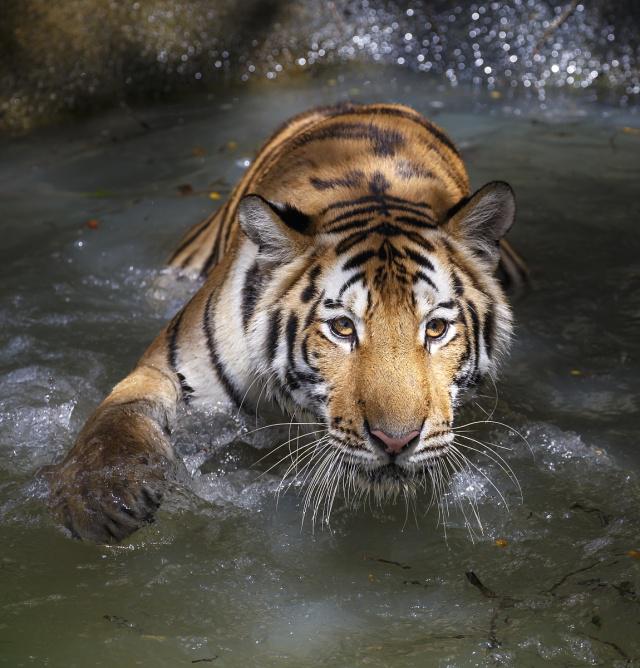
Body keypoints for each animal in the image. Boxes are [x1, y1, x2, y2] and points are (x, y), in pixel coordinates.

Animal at [47, 102, 528, 542]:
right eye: (342, 328)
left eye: (435, 328)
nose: (396, 441)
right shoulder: (163, 369)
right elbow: (116, 419)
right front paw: (100, 499)